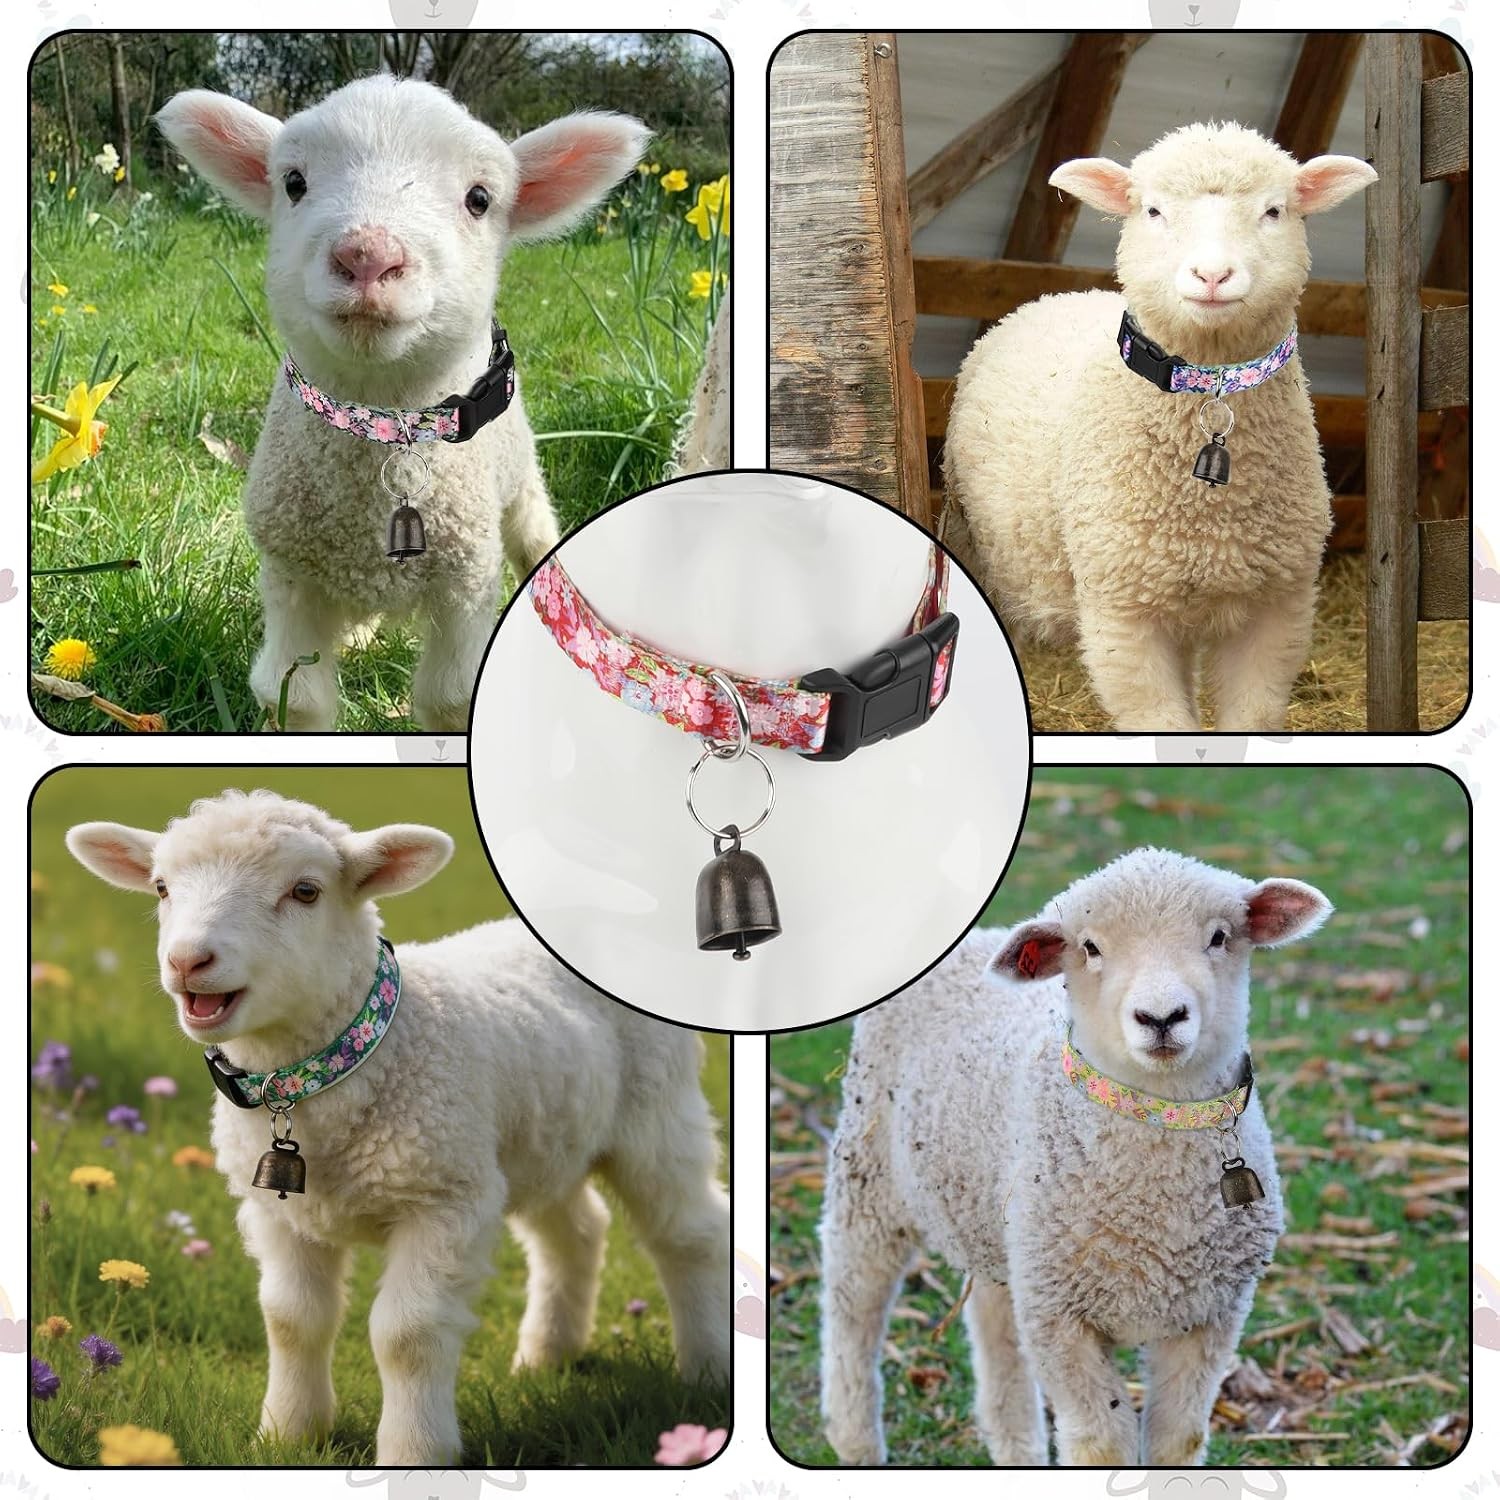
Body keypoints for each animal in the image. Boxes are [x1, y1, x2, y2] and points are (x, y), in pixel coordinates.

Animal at [65, 790, 730, 1466]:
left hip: (656, 1115)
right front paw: (287, 1434)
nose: (188, 960)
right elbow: (291, 1319)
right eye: (161, 887)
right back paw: (547, 1356)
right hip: (539, 1138)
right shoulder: (279, 1212)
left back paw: (707, 1370)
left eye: (306, 891)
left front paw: (415, 1454)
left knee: (691, 1235)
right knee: (575, 1232)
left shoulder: (443, 1200)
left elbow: (407, 1335)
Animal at [156, 79, 648, 731]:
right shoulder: (290, 573)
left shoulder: (466, 579)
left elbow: (450, 698)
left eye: (479, 199)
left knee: (535, 535)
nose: (367, 255)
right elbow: (294, 695)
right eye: (293, 182)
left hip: (519, 484)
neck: (383, 423)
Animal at [819, 847, 1331, 1467]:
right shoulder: (1060, 1318)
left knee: (994, 1325)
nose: (1161, 1017)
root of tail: (971, 939)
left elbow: (1177, 1438)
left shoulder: (1211, 1315)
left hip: (1002, 1226)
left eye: (1219, 937)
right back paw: (854, 1439)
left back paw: (1015, 1447)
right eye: (1089, 948)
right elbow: (1101, 1445)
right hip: (868, 1169)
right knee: (853, 1299)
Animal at [943, 123, 1375, 731]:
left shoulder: (1277, 609)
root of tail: (1056, 294)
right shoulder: (1123, 613)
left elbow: (1250, 721)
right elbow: (1162, 725)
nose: (1212, 275)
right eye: (1152, 210)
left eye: (1274, 211)